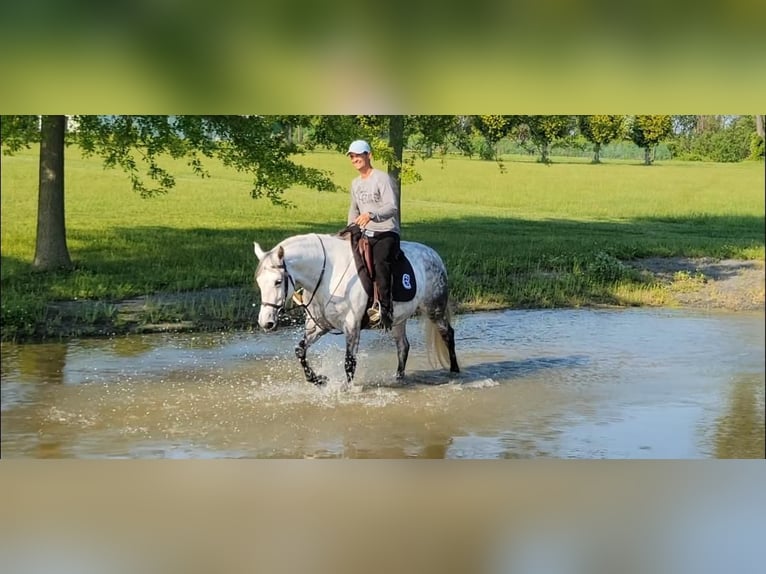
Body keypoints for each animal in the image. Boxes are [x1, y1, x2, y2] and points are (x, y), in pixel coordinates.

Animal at [254, 232, 462, 390]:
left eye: (278, 281)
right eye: (259, 282)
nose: (266, 322)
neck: (327, 274)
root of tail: (434, 255)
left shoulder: (352, 326)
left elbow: (349, 362)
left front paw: (348, 390)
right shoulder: (318, 326)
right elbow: (300, 351)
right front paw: (319, 380)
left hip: (434, 309)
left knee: (448, 335)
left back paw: (455, 371)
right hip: (398, 319)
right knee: (403, 346)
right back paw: (399, 378)